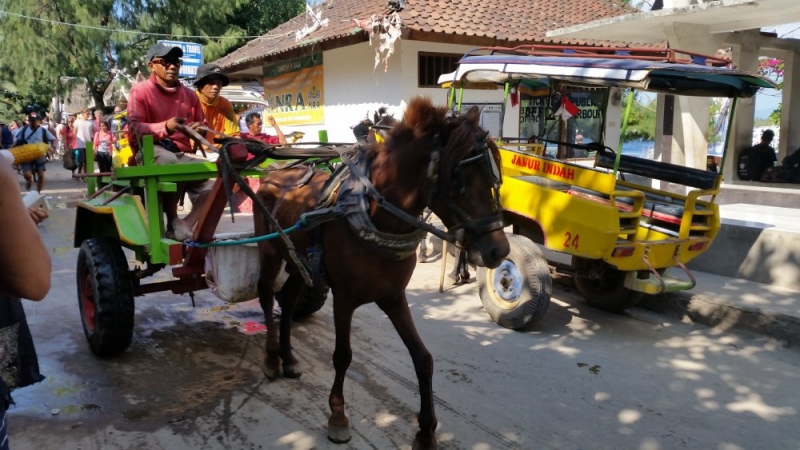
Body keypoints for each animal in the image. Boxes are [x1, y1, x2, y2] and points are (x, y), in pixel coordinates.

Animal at [253, 96, 510, 448]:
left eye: (496, 178)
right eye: (461, 181)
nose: (500, 251)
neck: (374, 214)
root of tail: (273, 173)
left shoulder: (393, 296)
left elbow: (423, 358)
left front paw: (426, 431)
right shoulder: (344, 297)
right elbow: (343, 355)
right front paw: (338, 416)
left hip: (298, 261)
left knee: (289, 299)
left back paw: (289, 358)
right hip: (270, 251)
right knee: (267, 296)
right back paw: (271, 358)